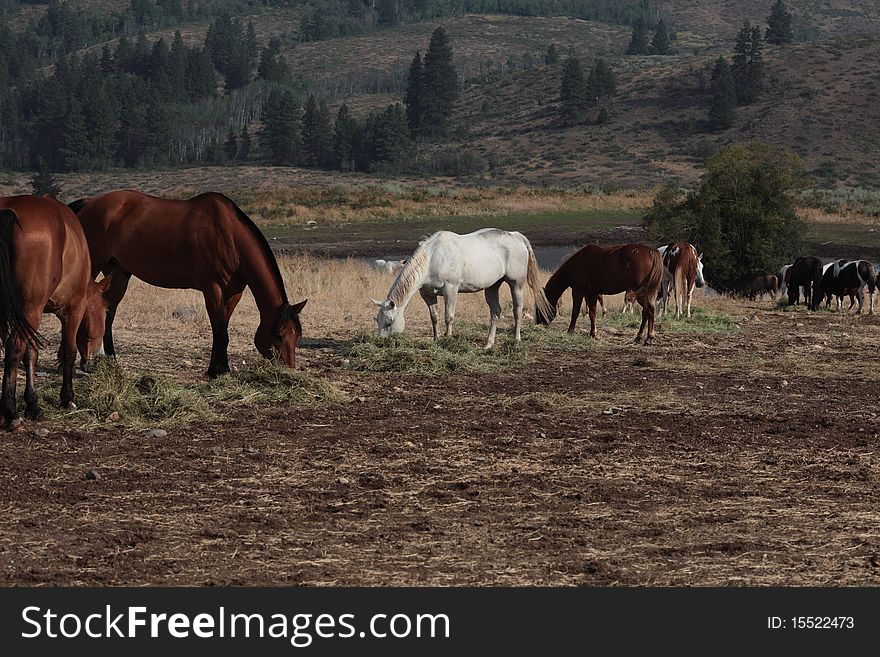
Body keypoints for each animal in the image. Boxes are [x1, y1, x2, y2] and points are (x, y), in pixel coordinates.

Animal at [70, 190, 308, 376]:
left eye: (297, 335)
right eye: (278, 335)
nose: (289, 369)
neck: (231, 238)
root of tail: (89, 203)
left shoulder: (234, 293)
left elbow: (224, 327)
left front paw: (222, 368)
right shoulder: (212, 289)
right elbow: (219, 330)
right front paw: (216, 371)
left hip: (118, 272)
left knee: (109, 311)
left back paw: (112, 360)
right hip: (95, 265)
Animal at [372, 228, 552, 348]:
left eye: (390, 321)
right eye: (377, 320)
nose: (381, 342)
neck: (432, 259)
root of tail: (516, 236)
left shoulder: (451, 289)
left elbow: (448, 316)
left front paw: (448, 338)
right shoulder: (428, 294)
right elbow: (434, 317)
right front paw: (437, 339)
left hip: (517, 284)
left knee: (517, 310)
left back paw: (516, 339)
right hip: (492, 287)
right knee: (495, 312)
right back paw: (488, 344)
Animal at [532, 242, 664, 344]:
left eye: (539, 307)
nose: (538, 322)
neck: (578, 263)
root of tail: (651, 251)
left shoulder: (578, 292)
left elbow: (575, 313)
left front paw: (570, 331)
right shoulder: (592, 294)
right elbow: (592, 314)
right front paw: (593, 334)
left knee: (649, 311)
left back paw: (648, 338)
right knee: (647, 311)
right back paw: (640, 337)